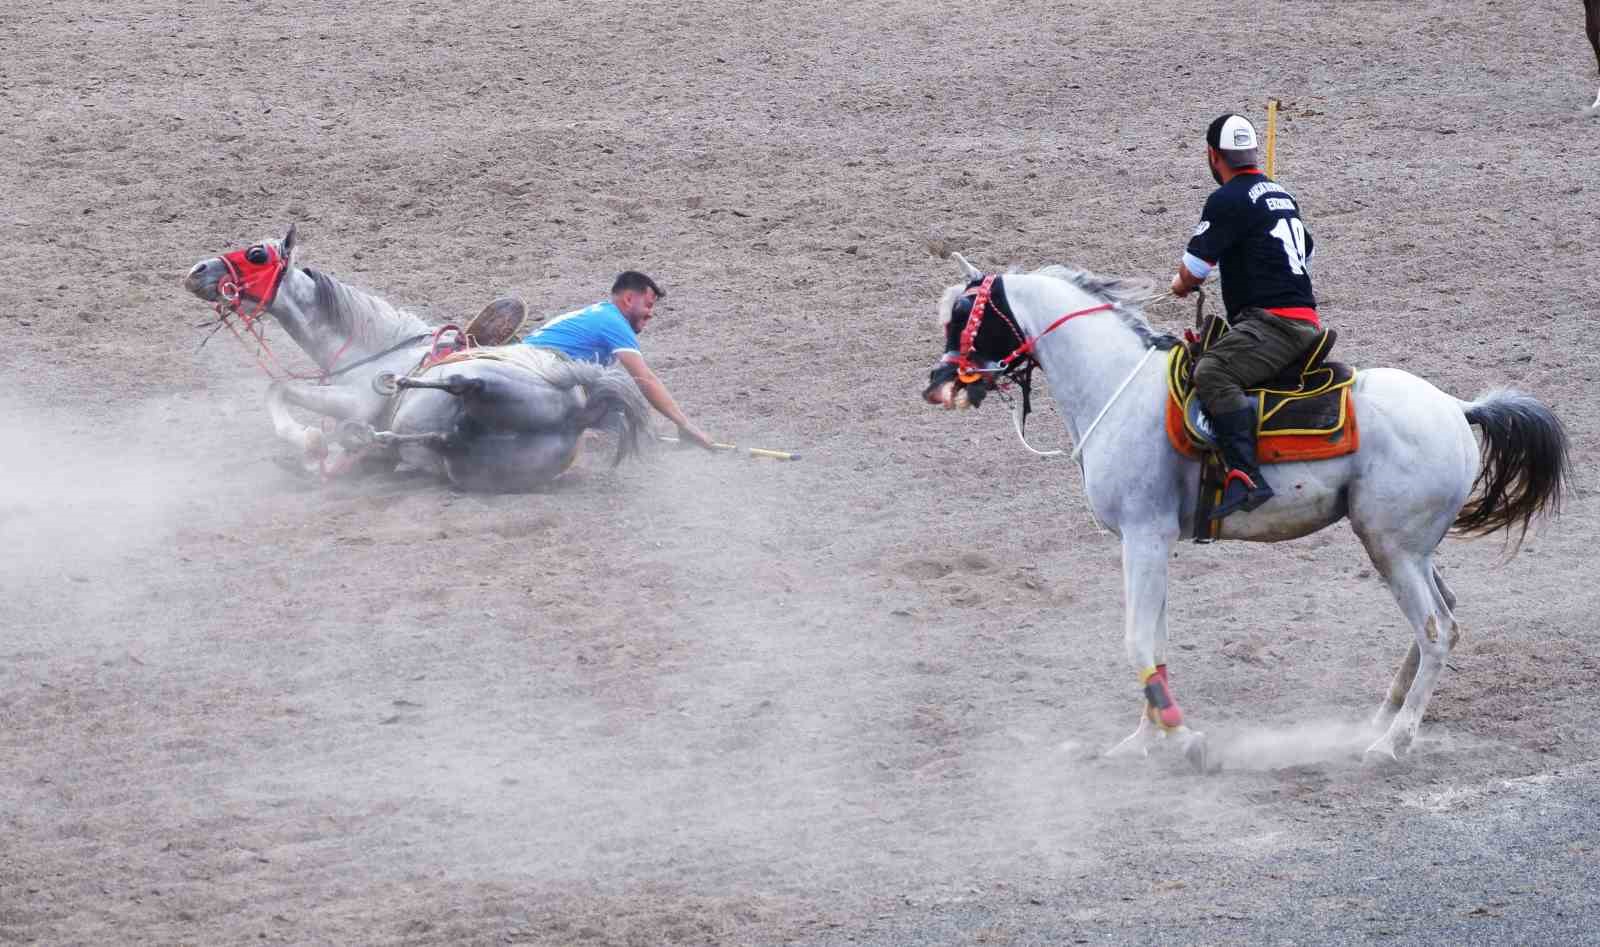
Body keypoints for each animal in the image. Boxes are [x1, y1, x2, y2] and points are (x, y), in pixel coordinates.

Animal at [921, 257, 1568, 761]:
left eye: (967, 316)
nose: (938, 383)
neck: (1118, 386)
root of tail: (1458, 408)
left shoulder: (1144, 536)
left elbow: (1137, 640)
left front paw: (1181, 738)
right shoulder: (1151, 543)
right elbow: (1154, 642)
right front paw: (1145, 739)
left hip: (1391, 548)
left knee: (1437, 631)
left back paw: (1391, 742)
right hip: (1410, 549)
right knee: (1446, 614)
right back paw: (1382, 718)